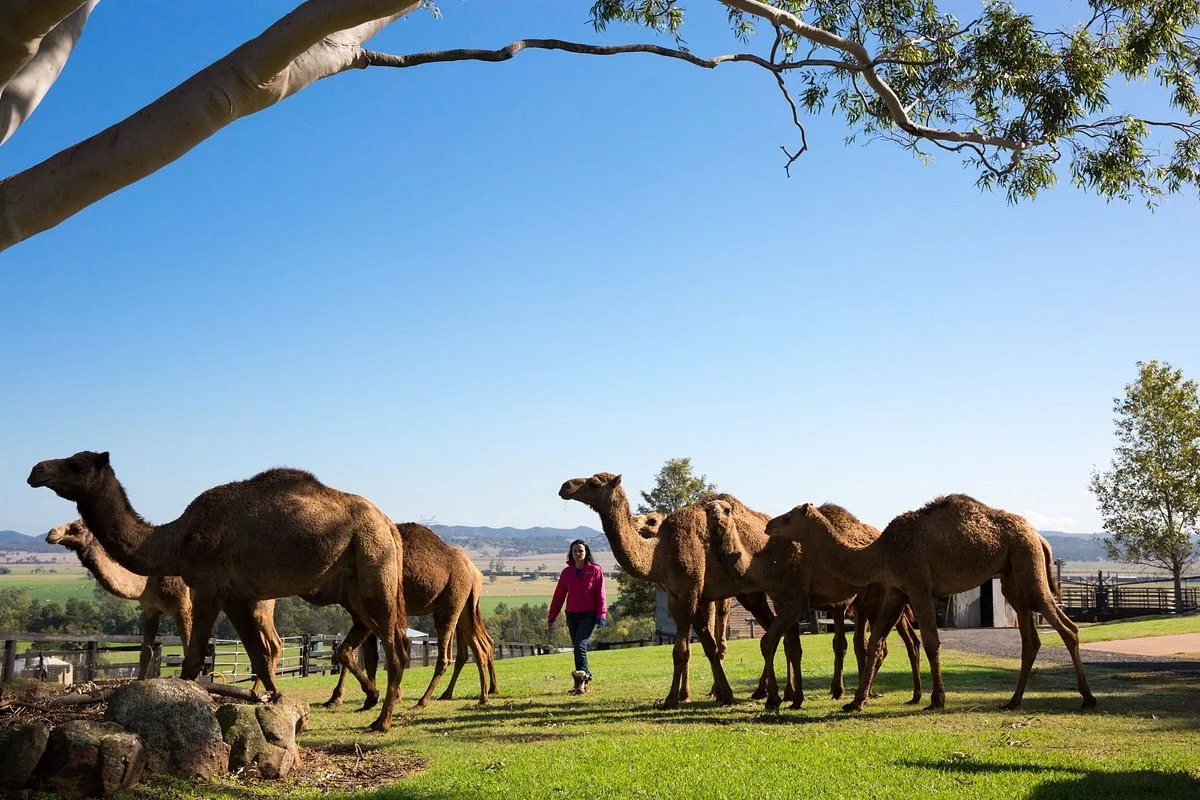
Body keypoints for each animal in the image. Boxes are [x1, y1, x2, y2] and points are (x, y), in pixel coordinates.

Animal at [45, 519, 285, 685]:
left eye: (76, 527)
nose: (51, 533)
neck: (146, 580)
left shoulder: (183, 607)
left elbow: (189, 648)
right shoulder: (150, 609)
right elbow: (145, 653)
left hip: (259, 605)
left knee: (273, 643)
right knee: (268, 644)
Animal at [309, 522, 497, 710]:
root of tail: (473, 572)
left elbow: (359, 653)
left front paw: (344, 697)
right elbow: (368, 657)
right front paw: (360, 697)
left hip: (450, 602)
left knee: (449, 655)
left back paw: (424, 701)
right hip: (464, 607)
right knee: (479, 647)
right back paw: (481, 696)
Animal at [559, 472, 798, 707]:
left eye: (593, 483)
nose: (565, 486)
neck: (660, 553)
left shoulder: (690, 590)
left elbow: (681, 650)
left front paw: (672, 698)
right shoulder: (677, 596)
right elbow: (707, 646)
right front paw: (724, 694)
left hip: (774, 586)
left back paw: (782, 693)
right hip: (752, 594)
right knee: (779, 629)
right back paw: (770, 692)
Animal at [705, 499, 922, 709]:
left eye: (727, 509)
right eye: (708, 509)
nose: (715, 517)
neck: (767, 566)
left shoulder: (794, 601)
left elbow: (767, 642)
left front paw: (773, 699)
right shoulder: (784, 602)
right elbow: (793, 648)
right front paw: (795, 699)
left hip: (877, 599)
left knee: (886, 643)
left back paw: (869, 695)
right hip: (868, 602)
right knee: (869, 642)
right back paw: (872, 694)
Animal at [765, 494, 1096, 711]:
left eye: (789, 516)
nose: (769, 525)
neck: (880, 552)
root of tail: (1039, 537)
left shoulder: (918, 585)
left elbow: (930, 641)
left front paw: (937, 700)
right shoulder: (897, 590)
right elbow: (876, 642)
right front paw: (856, 702)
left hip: (1027, 563)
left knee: (1066, 627)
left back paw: (1087, 698)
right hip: (1011, 576)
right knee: (1031, 638)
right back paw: (1013, 701)